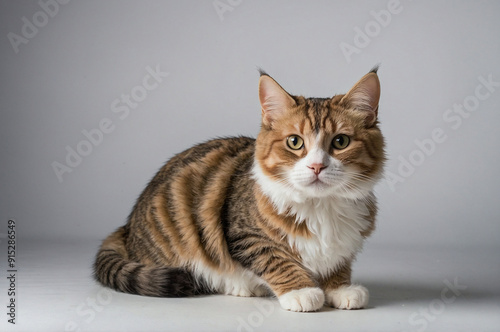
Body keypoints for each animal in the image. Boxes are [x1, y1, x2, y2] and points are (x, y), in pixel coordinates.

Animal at [94, 67, 384, 312]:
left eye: (341, 142)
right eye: (294, 142)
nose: (316, 166)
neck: (321, 206)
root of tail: (126, 228)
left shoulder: (346, 241)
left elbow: (337, 263)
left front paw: (339, 288)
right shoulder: (246, 236)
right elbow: (277, 261)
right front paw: (301, 291)